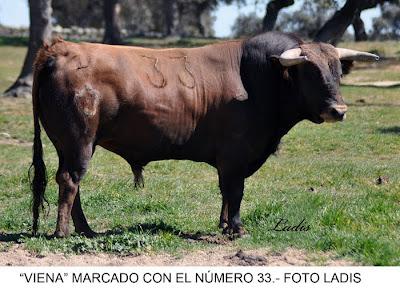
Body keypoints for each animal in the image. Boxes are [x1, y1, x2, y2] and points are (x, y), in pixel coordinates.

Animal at [29, 32, 376, 238]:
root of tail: (59, 49)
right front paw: (236, 229)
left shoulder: (231, 160)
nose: (338, 110)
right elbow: (235, 191)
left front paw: (223, 225)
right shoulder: (235, 156)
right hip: (80, 141)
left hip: (68, 145)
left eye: (338, 71)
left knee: (70, 182)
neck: (259, 78)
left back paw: (85, 229)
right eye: (310, 72)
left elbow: (226, 192)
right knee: (70, 181)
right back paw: (63, 232)